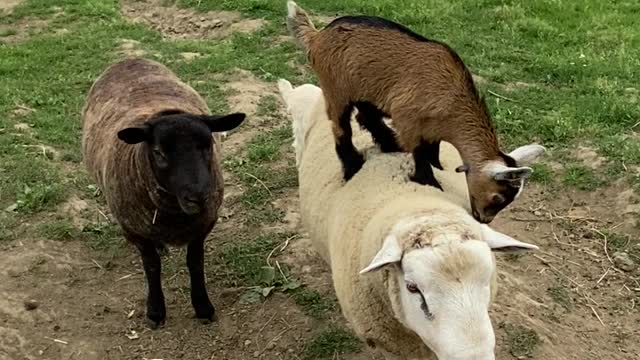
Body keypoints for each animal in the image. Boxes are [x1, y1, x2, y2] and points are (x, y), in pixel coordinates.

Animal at [81, 57, 246, 328]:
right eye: (158, 152)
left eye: (208, 144)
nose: (199, 198)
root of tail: (129, 59)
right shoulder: (135, 231)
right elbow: (152, 267)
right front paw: (156, 311)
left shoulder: (203, 225)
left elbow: (195, 263)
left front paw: (203, 307)